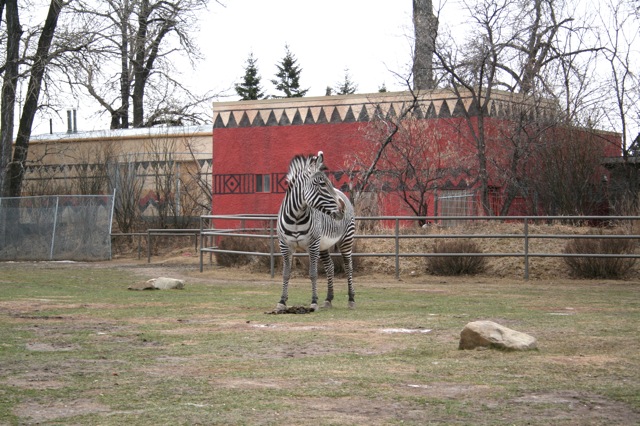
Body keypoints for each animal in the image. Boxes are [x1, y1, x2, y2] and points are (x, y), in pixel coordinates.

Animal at [276, 151, 356, 312]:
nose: (342, 209)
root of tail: (342, 193)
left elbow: (313, 274)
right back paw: (328, 299)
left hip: (346, 240)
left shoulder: (312, 245)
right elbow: (286, 274)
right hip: (323, 245)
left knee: (348, 267)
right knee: (330, 267)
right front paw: (282, 301)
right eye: (322, 184)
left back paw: (351, 299)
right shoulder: (285, 246)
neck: (296, 217)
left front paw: (313, 301)